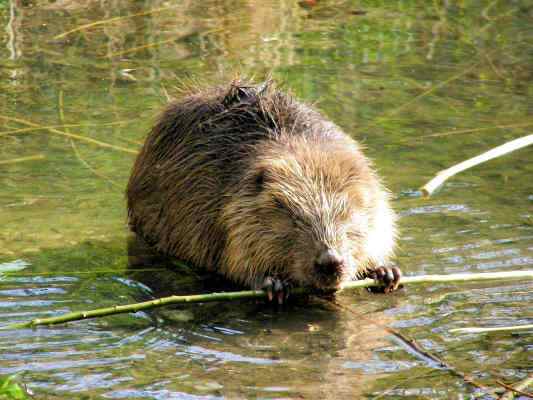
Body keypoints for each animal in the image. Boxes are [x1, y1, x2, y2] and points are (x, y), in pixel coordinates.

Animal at [125, 79, 400, 302]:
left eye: (346, 215)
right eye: (294, 217)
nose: (330, 261)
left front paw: (386, 272)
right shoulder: (217, 206)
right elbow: (235, 255)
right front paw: (273, 283)